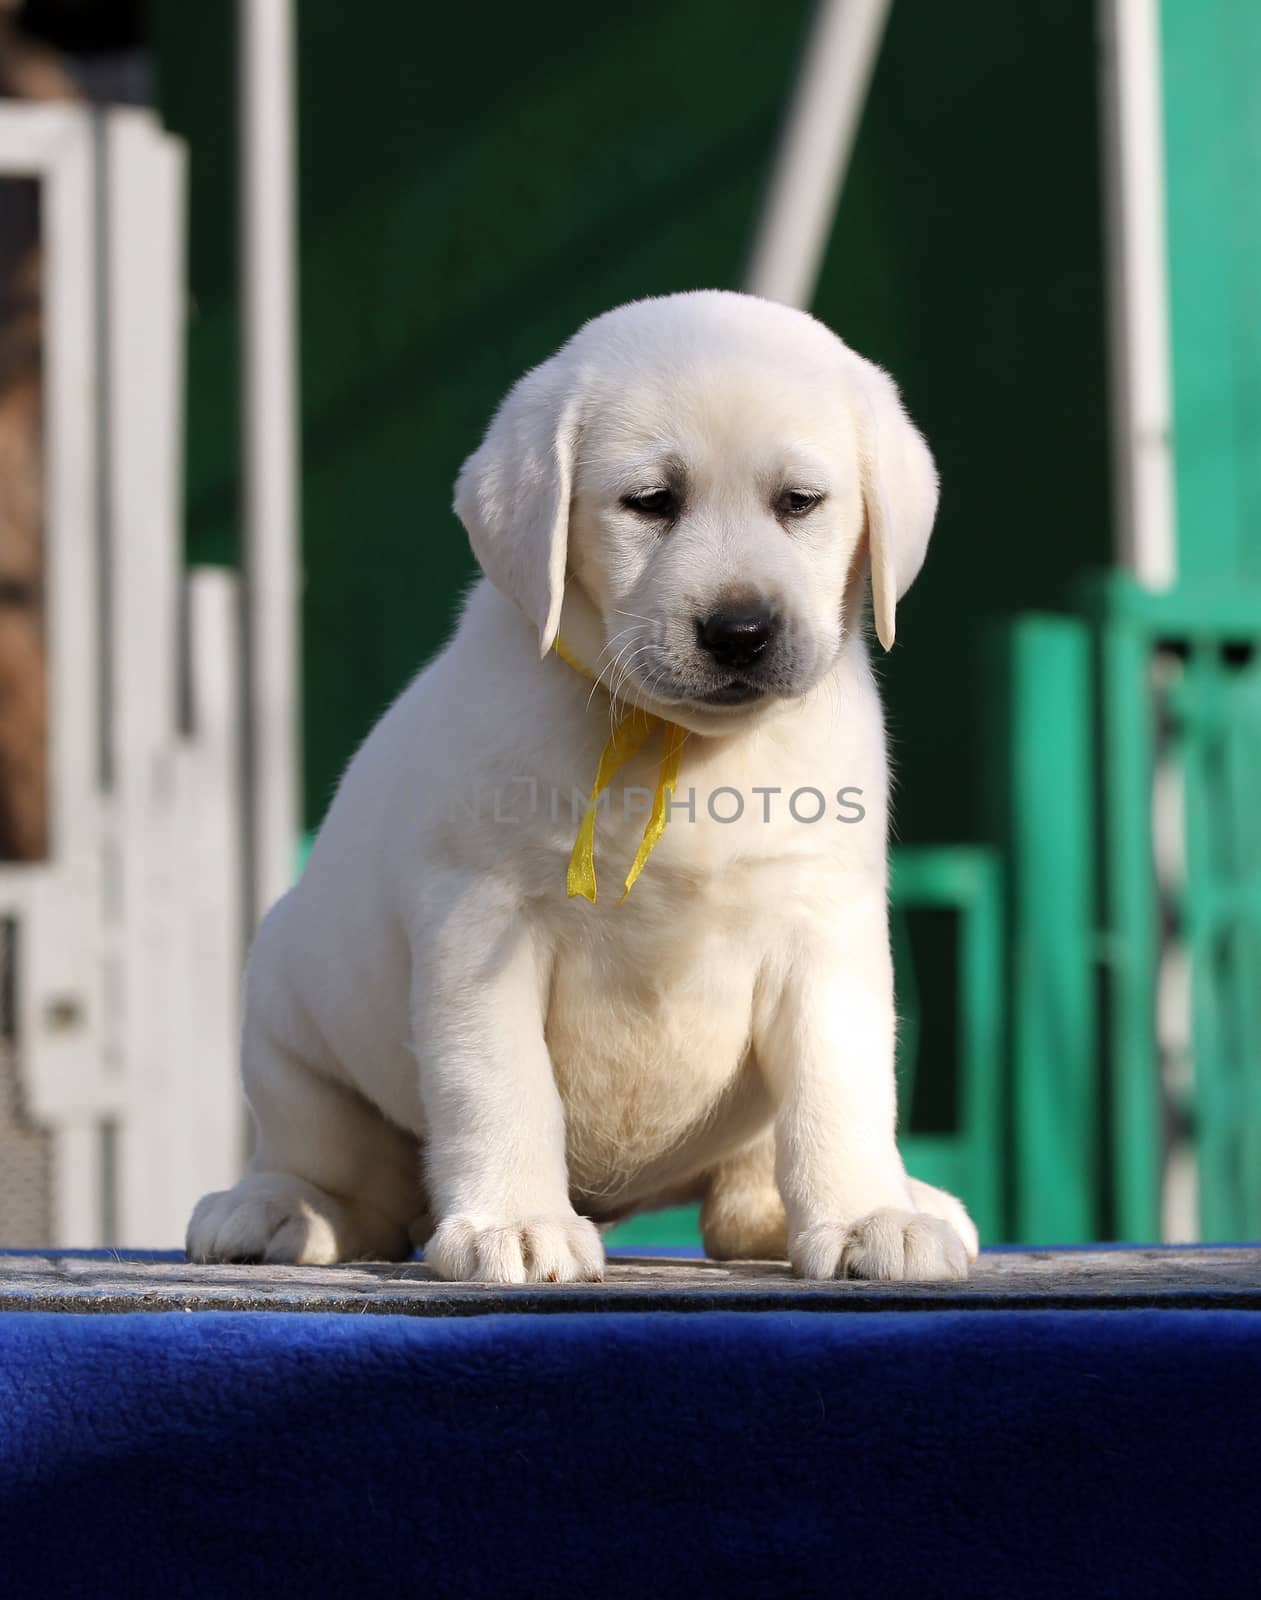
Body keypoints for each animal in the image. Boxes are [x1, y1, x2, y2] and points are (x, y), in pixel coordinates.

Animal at [187, 291, 979, 1286]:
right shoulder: (480, 922)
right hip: (286, 1018)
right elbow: (500, 1081)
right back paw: (282, 1209)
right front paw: (515, 1223)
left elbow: (839, 1084)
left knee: (743, 1199)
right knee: (340, 1171)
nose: (741, 630)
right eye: (650, 503)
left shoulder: (822, 926)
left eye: (798, 503)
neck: (679, 745)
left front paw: (872, 1212)